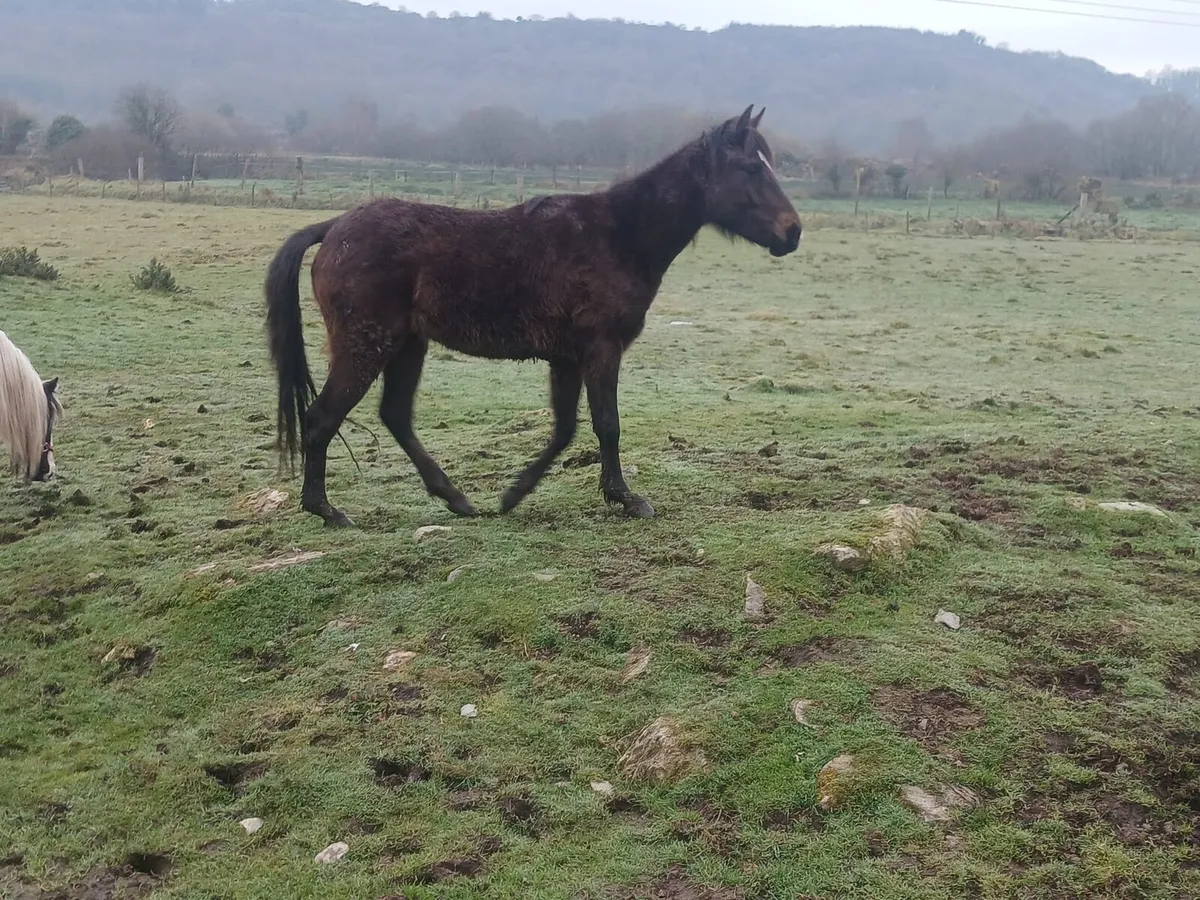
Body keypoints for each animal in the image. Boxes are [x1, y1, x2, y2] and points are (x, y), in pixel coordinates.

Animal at [266, 105, 802, 528]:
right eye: (750, 169)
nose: (792, 232)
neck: (619, 234)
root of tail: (335, 227)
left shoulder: (566, 359)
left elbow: (565, 429)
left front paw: (514, 493)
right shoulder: (600, 349)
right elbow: (607, 424)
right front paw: (626, 499)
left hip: (406, 346)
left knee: (394, 416)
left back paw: (456, 499)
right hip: (367, 345)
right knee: (321, 417)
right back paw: (326, 509)